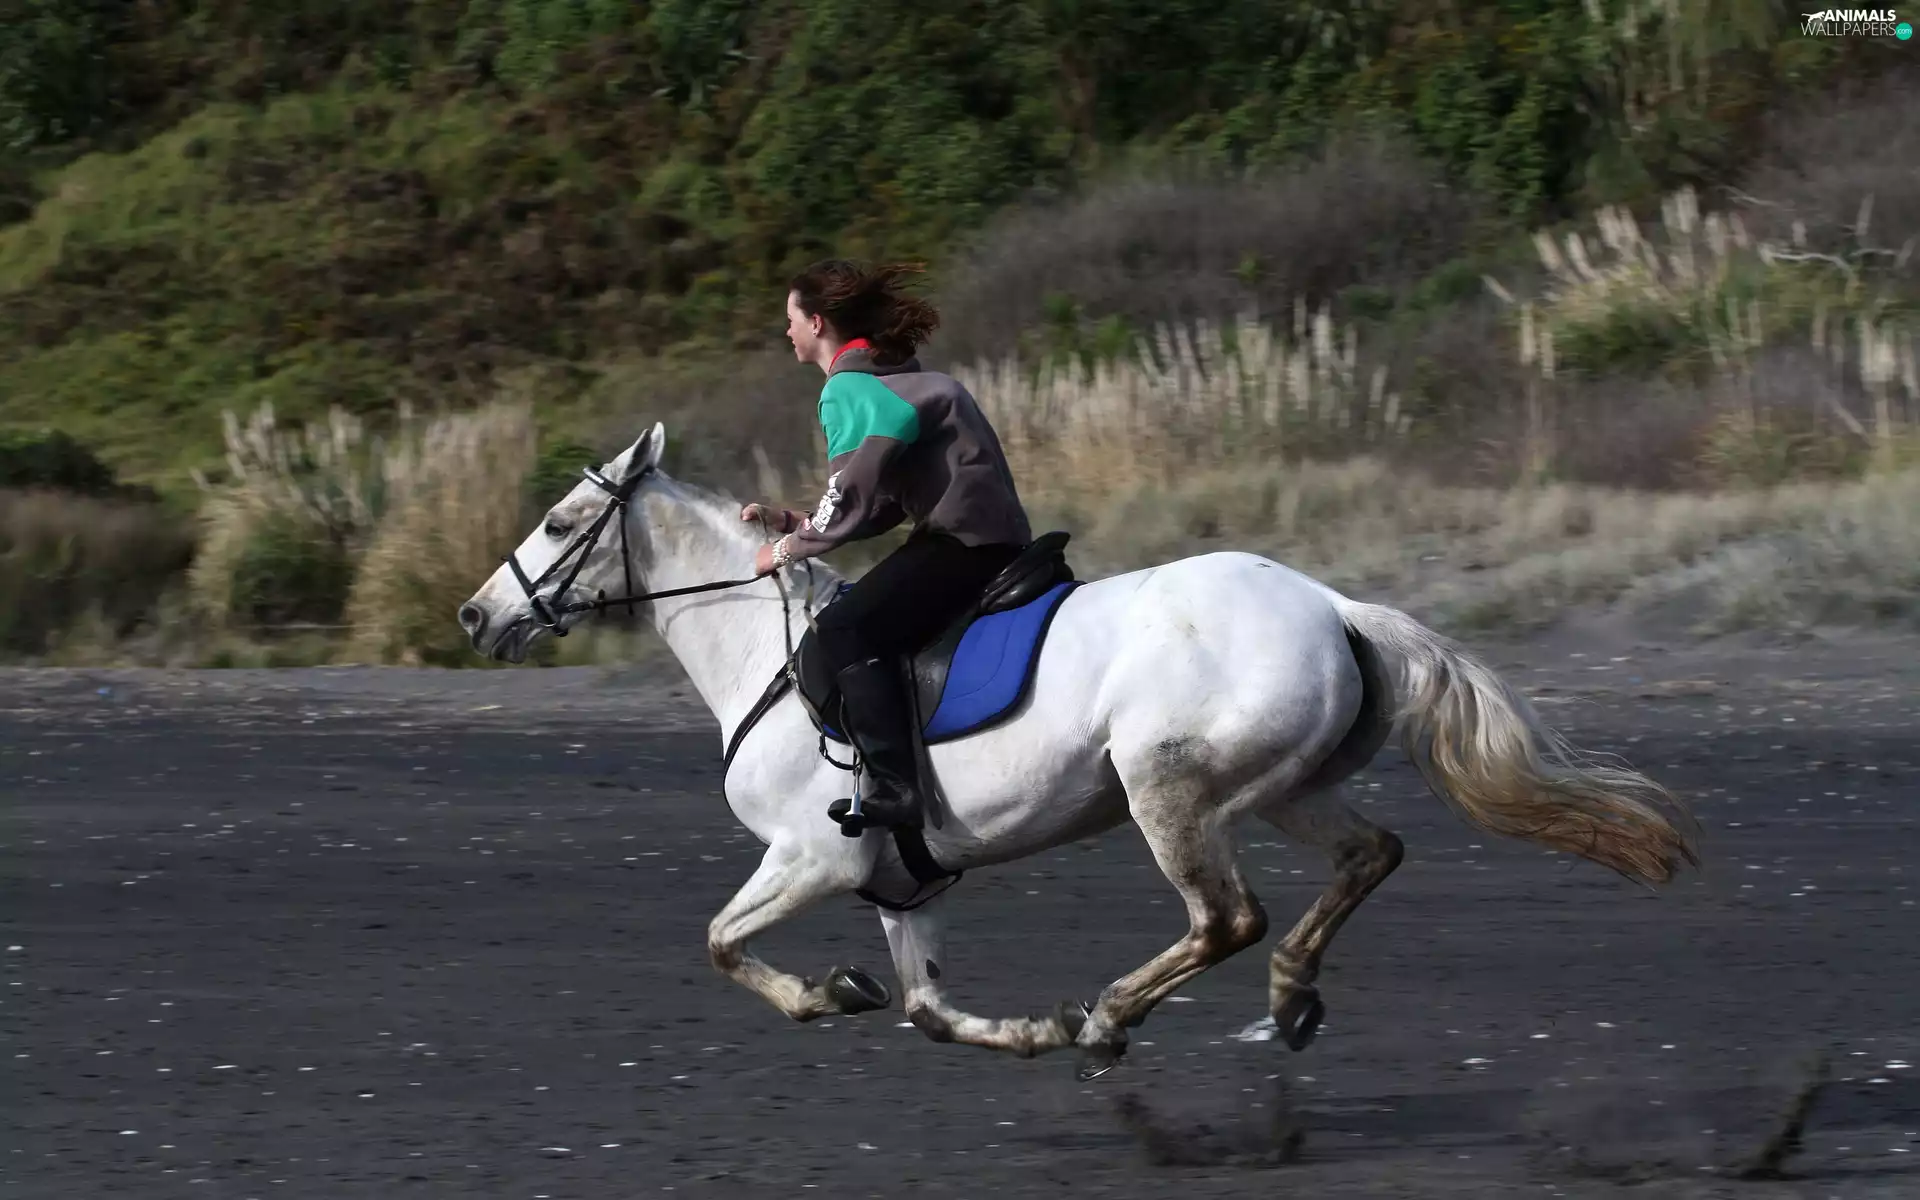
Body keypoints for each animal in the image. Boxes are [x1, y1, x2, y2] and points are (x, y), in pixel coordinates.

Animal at [456, 424, 1699, 1079]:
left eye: (562, 523)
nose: (476, 617)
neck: (762, 653)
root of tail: (1334, 604)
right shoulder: (902, 883)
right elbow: (927, 1007)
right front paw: (1020, 1027)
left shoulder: (815, 858)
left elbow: (721, 943)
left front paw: (824, 994)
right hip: (1282, 789)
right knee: (1368, 856)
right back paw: (1286, 995)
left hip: (1169, 793)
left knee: (1227, 918)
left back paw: (1117, 1015)